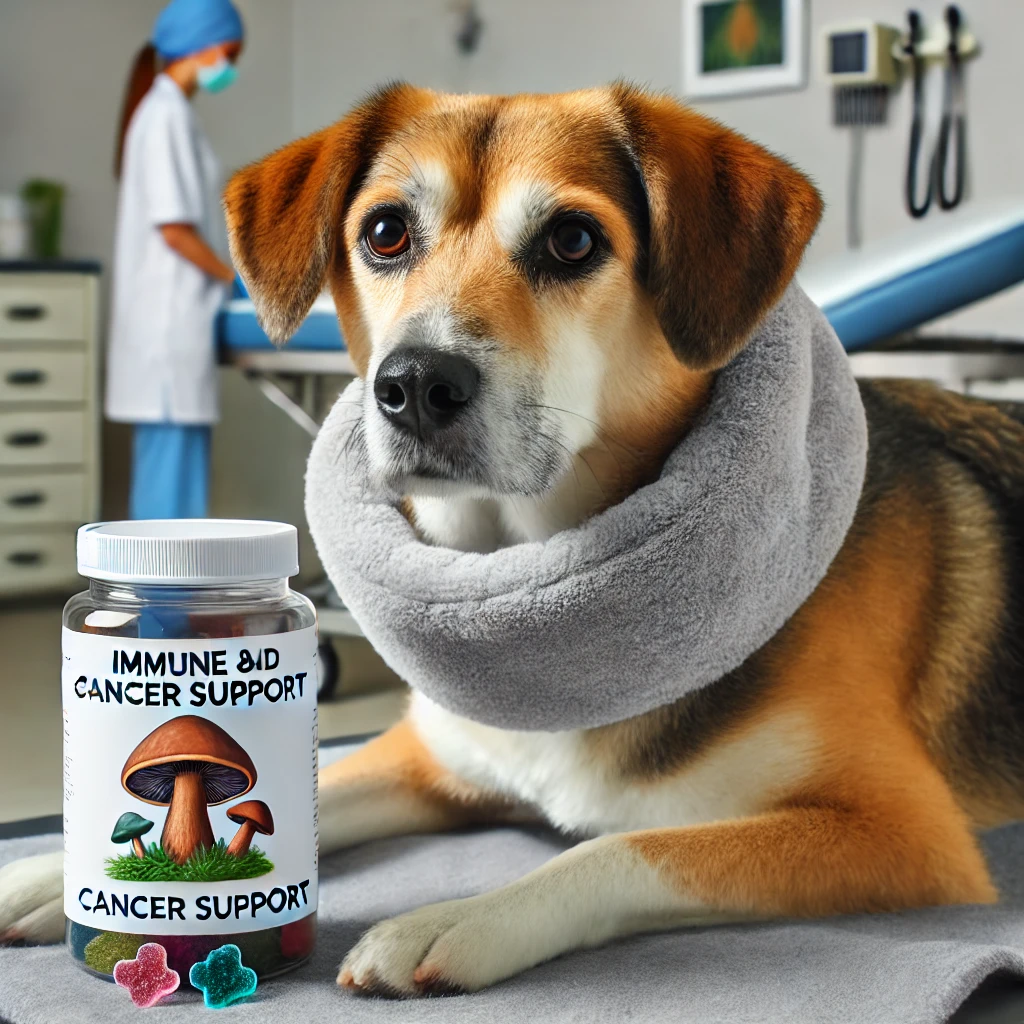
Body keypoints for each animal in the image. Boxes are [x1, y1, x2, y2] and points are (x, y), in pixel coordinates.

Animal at [2, 81, 1024, 999]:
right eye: (385, 232)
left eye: (573, 240)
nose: (414, 384)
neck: (522, 574)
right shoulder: (432, 759)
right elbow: (322, 773)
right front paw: (53, 873)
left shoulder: (905, 835)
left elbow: (628, 844)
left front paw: (457, 918)